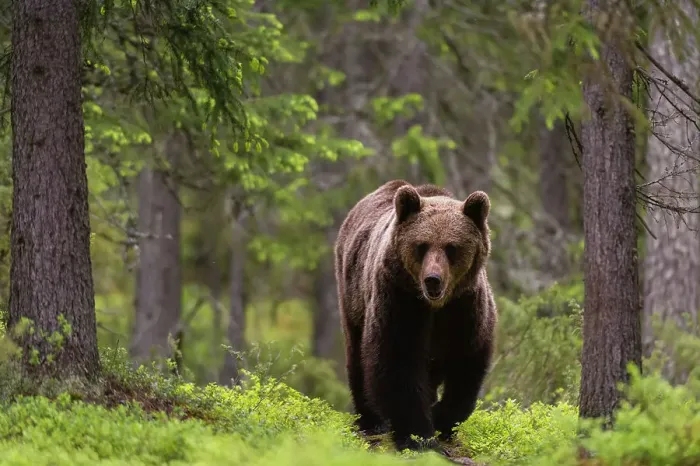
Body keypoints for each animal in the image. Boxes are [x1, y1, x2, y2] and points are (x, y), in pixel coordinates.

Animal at [334, 179, 497, 452]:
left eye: (452, 247)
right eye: (422, 245)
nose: (433, 279)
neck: (435, 306)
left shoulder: (465, 307)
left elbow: (466, 363)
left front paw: (442, 419)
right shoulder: (400, 299)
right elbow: (398, 361)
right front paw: (417, 436)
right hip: (352, 294)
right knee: (356, 353)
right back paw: (369, 420)